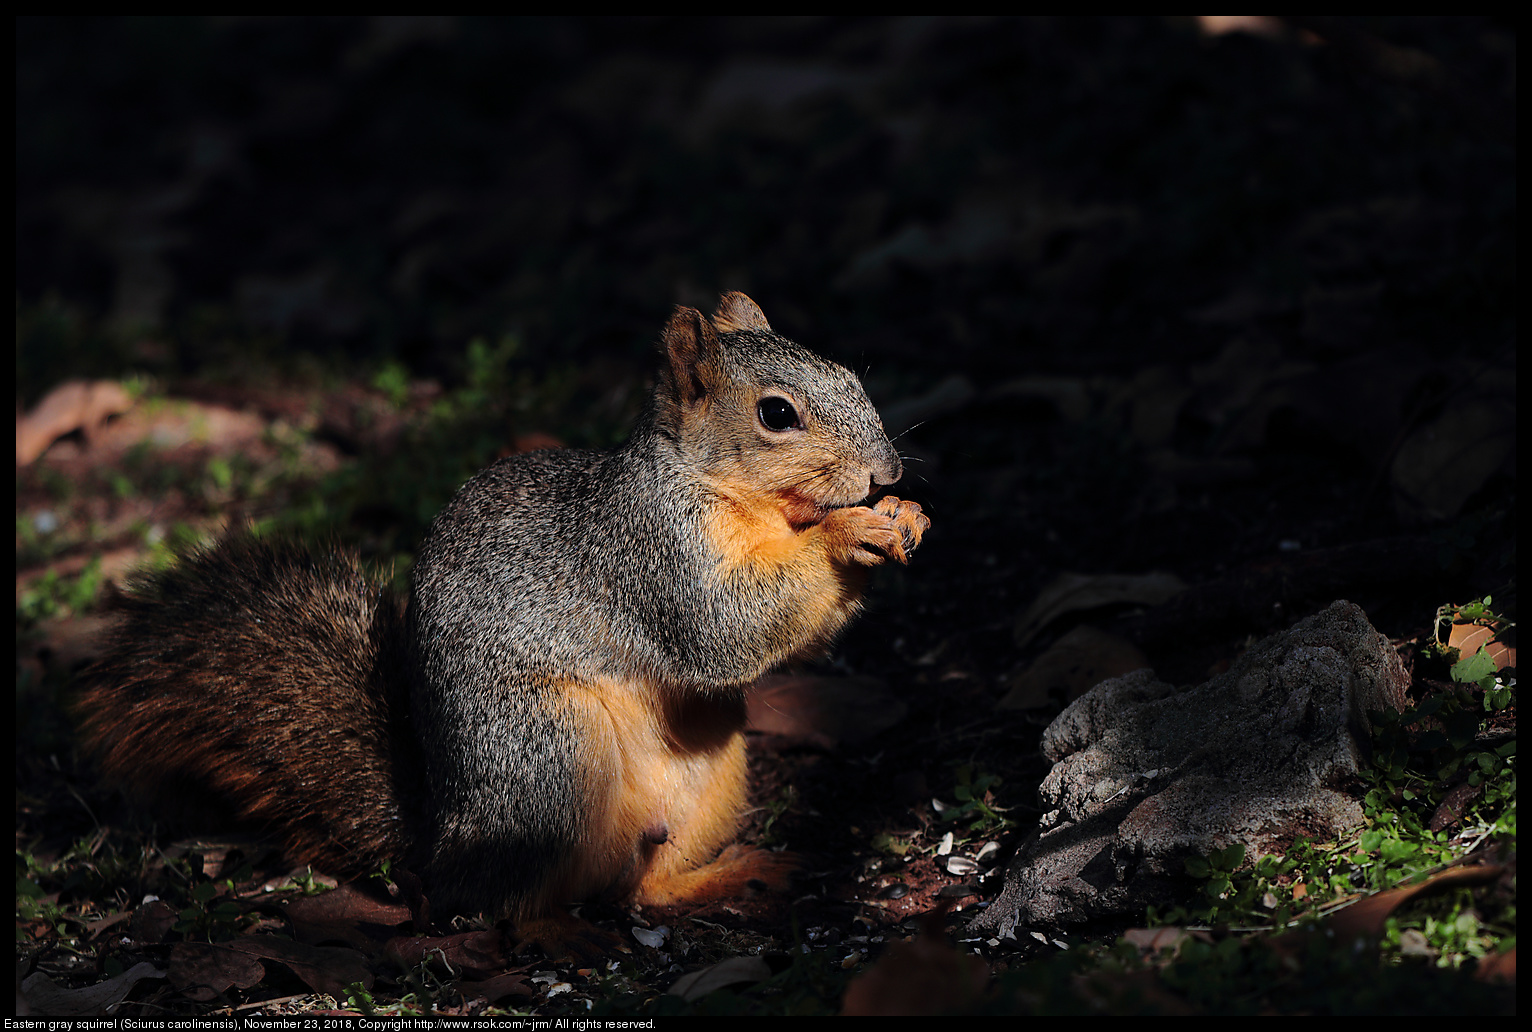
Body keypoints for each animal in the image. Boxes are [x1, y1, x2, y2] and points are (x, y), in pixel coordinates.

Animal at [77, 293, 925, 955]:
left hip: (711, 771)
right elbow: (728, 629)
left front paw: (902, 516)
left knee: (642, 890)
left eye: (851, 377)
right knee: (500, 905)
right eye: (776, 414)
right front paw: (851, 531)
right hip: (546, 754)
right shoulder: (654, 556)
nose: (886, 471)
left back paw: (736, 874)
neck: (742, 499)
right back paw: (556, 930)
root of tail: (444, 840)